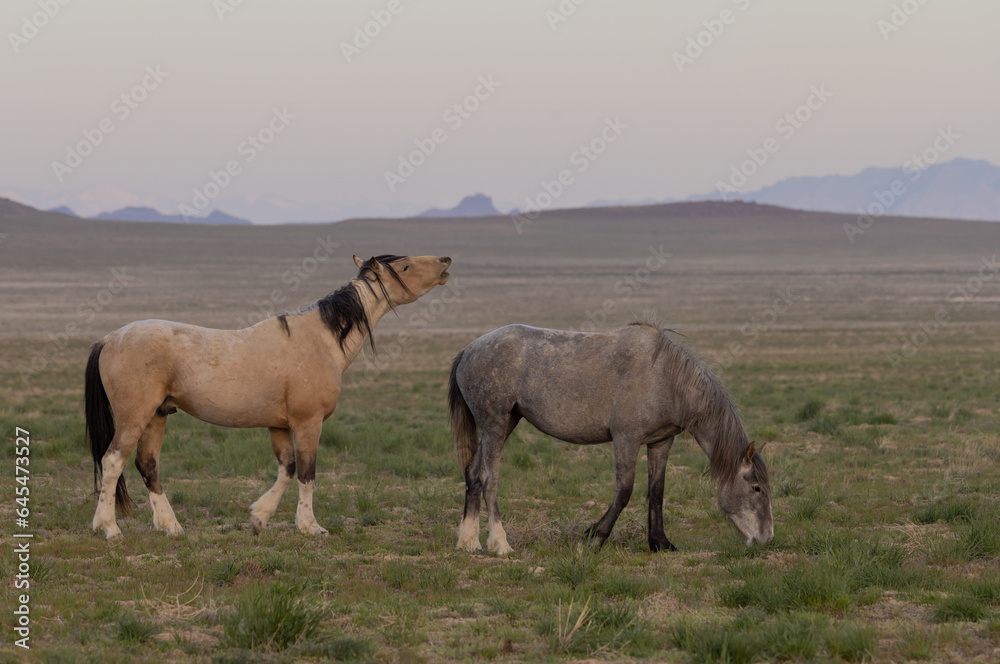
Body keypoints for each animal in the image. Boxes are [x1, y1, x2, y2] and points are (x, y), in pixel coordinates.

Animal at [86, 254, 454, 540]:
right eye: (405, 266)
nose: (445, 262)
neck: (320, 339)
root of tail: (109, 338)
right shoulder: (308, 423)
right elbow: (307, 472)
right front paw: (310, 526)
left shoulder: (278, 426)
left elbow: (287, 470)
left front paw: (259, 517)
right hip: (135, 418)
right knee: (113, 461)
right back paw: (109, 528)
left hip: (157, 416)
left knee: (148, 465)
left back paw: (171, 526)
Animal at [448, 322, 772, 556]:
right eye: (756, 488)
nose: (766, 538)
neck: (666, 379)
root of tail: (468, 350)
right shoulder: (626, 439)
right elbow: (624, 491)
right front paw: (595, 537)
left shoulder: (660, 442)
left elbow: (656, 491)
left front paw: (660, 543)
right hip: (495, 426)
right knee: (489, 478)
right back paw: (500, 544)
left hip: (504, 424)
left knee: (473, 473)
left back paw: (468, 541)